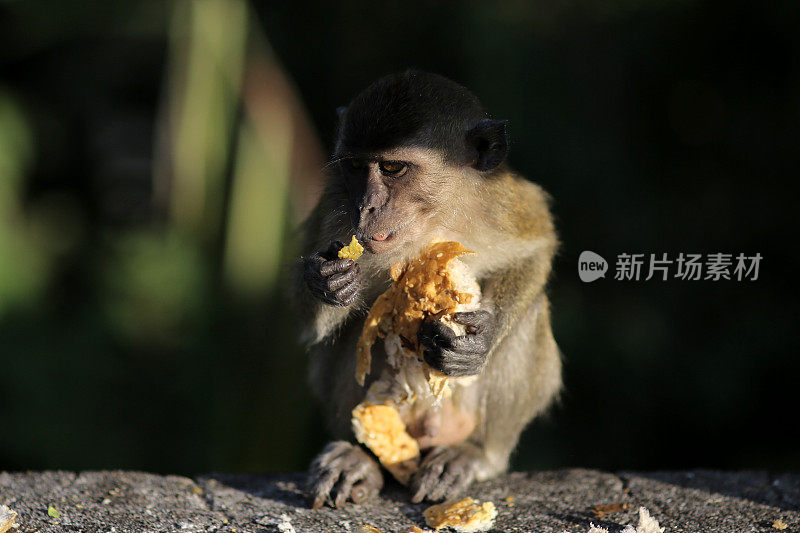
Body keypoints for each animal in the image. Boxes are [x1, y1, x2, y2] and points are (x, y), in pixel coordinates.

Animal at [290, 69, 560, 508]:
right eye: (355, 166)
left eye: (393, 167)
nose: (366, 207)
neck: (433, 217)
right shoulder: (335, 208)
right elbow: (310, 327)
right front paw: (327, 280)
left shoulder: (503, 201)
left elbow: (536, 249)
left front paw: (479, 342)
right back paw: (363, 456)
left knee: (531, 313)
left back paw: (475, 452)